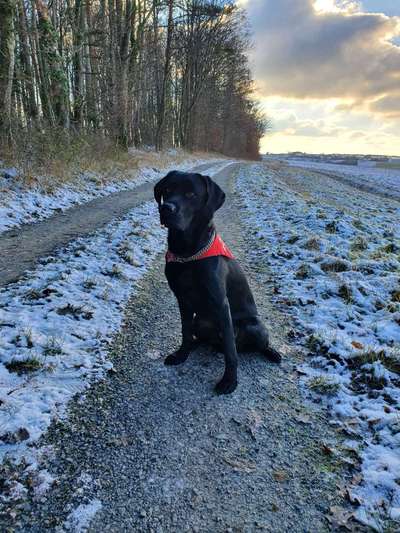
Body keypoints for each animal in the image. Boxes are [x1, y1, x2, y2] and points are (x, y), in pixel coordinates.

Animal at [154, 170, 282, 394]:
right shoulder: (182, 300)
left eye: (191, 194)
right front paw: (181, 354)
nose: (166, 208)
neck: (188, 254)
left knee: (250, 344)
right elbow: (185, 331)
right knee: (199, 336)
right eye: (168, 190)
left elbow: (231, 352)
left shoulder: (221, 304)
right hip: (200, 321)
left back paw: (272, 353)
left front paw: (229, 381)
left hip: (255, 327)